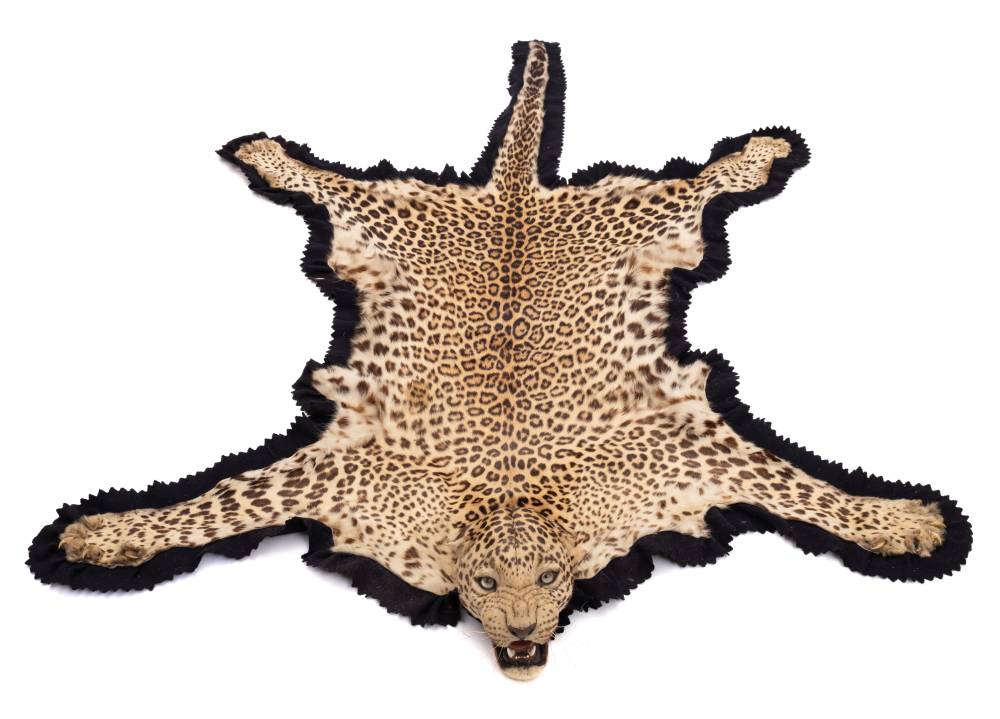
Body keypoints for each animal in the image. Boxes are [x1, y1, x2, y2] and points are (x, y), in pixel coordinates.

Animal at [44, 40, 966, 681]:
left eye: (552, 576)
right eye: (484, 585)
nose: (522, 633)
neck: (512, 499)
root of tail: (512, 195)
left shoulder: (685, 448)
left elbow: (806, 489)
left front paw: (900, 522)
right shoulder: (337, 475)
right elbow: (211, 504)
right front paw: (105, 533)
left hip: (643, 214)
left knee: (698, 181)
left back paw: (762, 151)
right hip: (380, 216)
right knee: (326, 180)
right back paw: (265, 152)